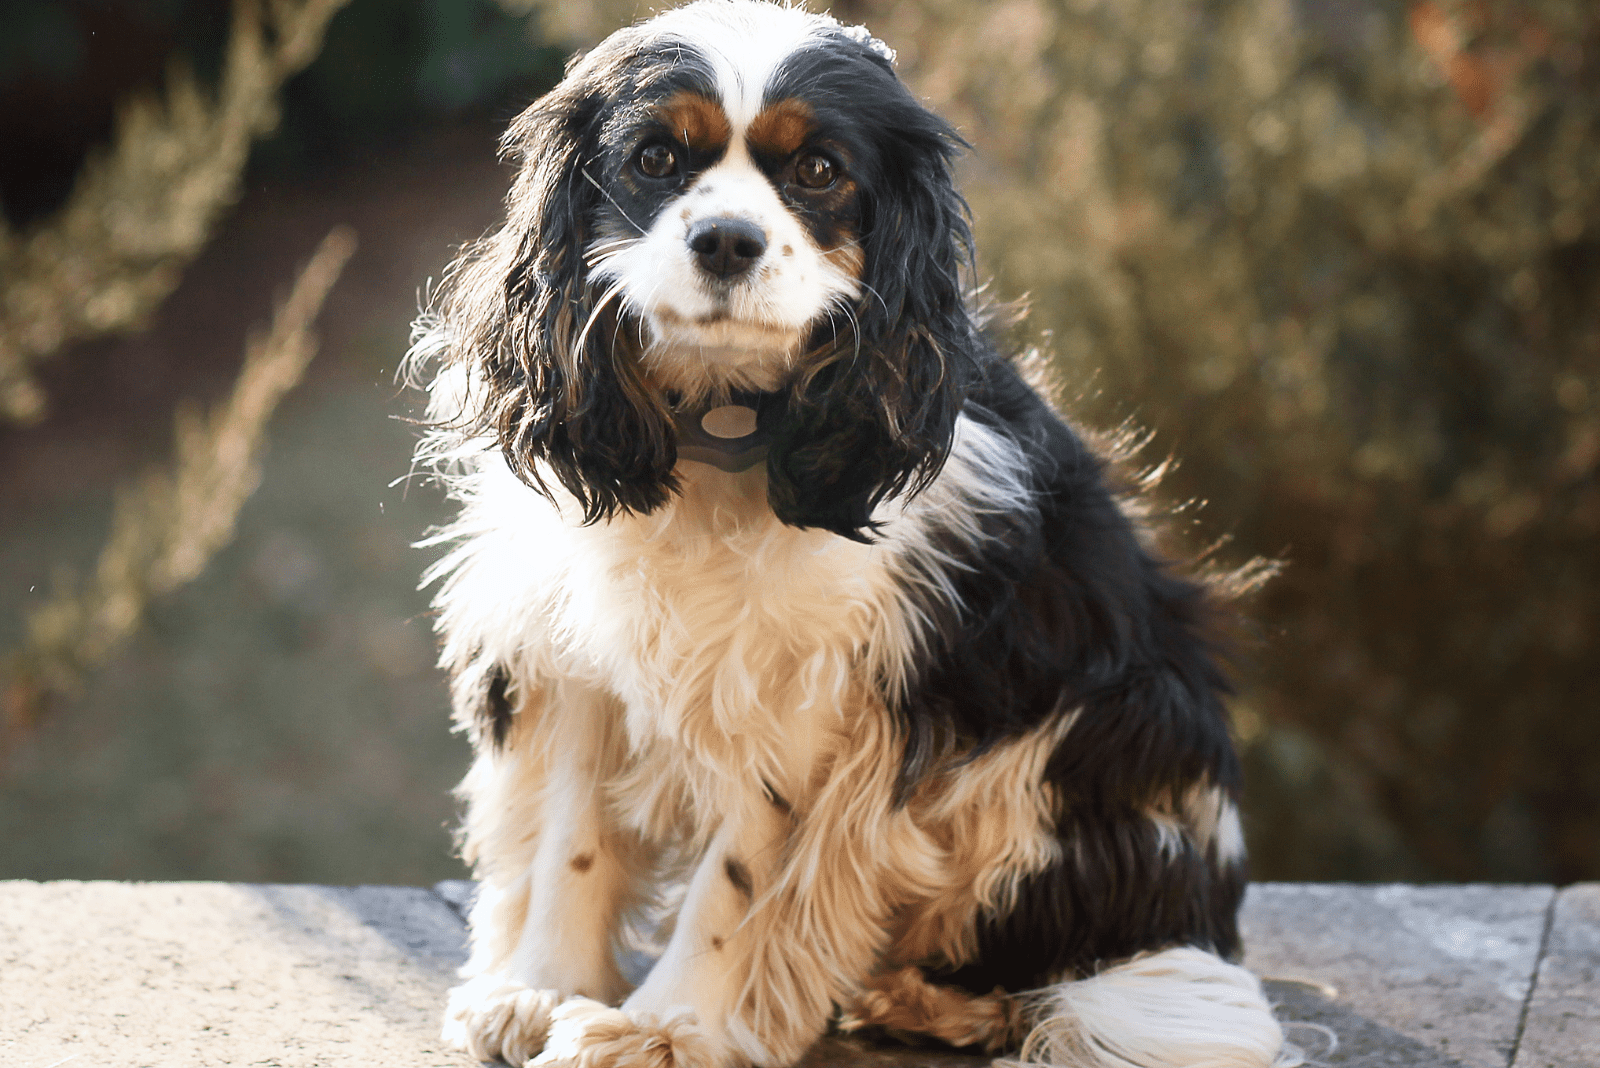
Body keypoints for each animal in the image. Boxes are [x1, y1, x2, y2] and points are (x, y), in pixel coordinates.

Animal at [409, 2, 1286, 1068]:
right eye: (656, 158)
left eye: (820, 171)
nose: (728, 241)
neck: (726, 426)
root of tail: (1206, 909)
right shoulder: (580, 657)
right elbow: (575, 840)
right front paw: (539, 988)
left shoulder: (815, 702)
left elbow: (737, 880)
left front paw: (666, 1026)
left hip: (1064, 764)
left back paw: (937, 1002)